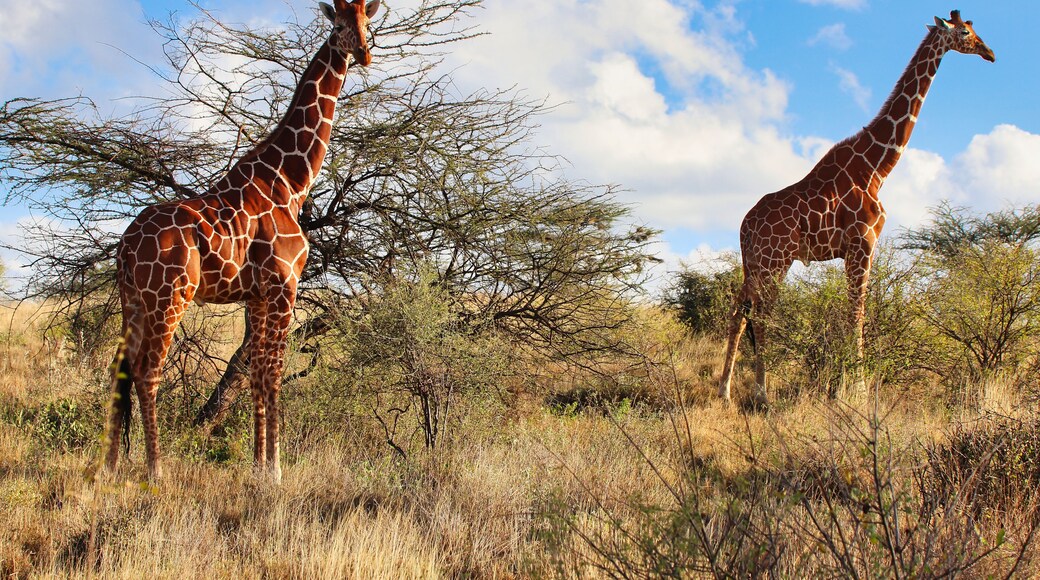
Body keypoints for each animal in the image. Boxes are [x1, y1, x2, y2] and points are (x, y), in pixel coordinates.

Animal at [104, 0, 381, 482]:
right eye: (340, 24)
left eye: (369, 19)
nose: (363, 52)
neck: (290, 181)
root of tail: (124, 245)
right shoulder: (285, 284)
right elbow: (274, 372)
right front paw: (276, 470)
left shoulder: (255, 294)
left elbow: (255, 375)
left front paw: (257, 466)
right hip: (169, 296)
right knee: (147, 371)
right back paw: (155, 470)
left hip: (133, 300)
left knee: (121, 368)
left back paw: (110, 467)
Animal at [718, 10, 994, 405]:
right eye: (966, 33)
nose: (990, 53)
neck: (878, 166)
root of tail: (744, 225)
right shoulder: (862, 243)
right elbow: (858, 314)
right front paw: (857, 391)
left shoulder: (856, 248)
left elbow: (852, 314)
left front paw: (845, 386)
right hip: (776, 260)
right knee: (763, 315)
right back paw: (761, 393)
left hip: (754, 263)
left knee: (738, 312)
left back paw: (725, 390)